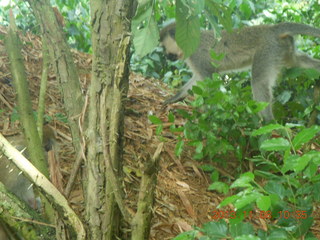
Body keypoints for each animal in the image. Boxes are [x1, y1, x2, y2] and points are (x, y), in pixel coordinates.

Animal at [161, 21, 320, 122]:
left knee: (258, 81)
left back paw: (268, 122)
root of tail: (272, 29)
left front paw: (207, 114)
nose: (166, 55)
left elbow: (209, 80)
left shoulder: (196, 56)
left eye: (163, 47)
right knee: (299, 61)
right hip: (283, 48)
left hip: (268, 50)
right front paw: (176, 97)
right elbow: (198, 80)